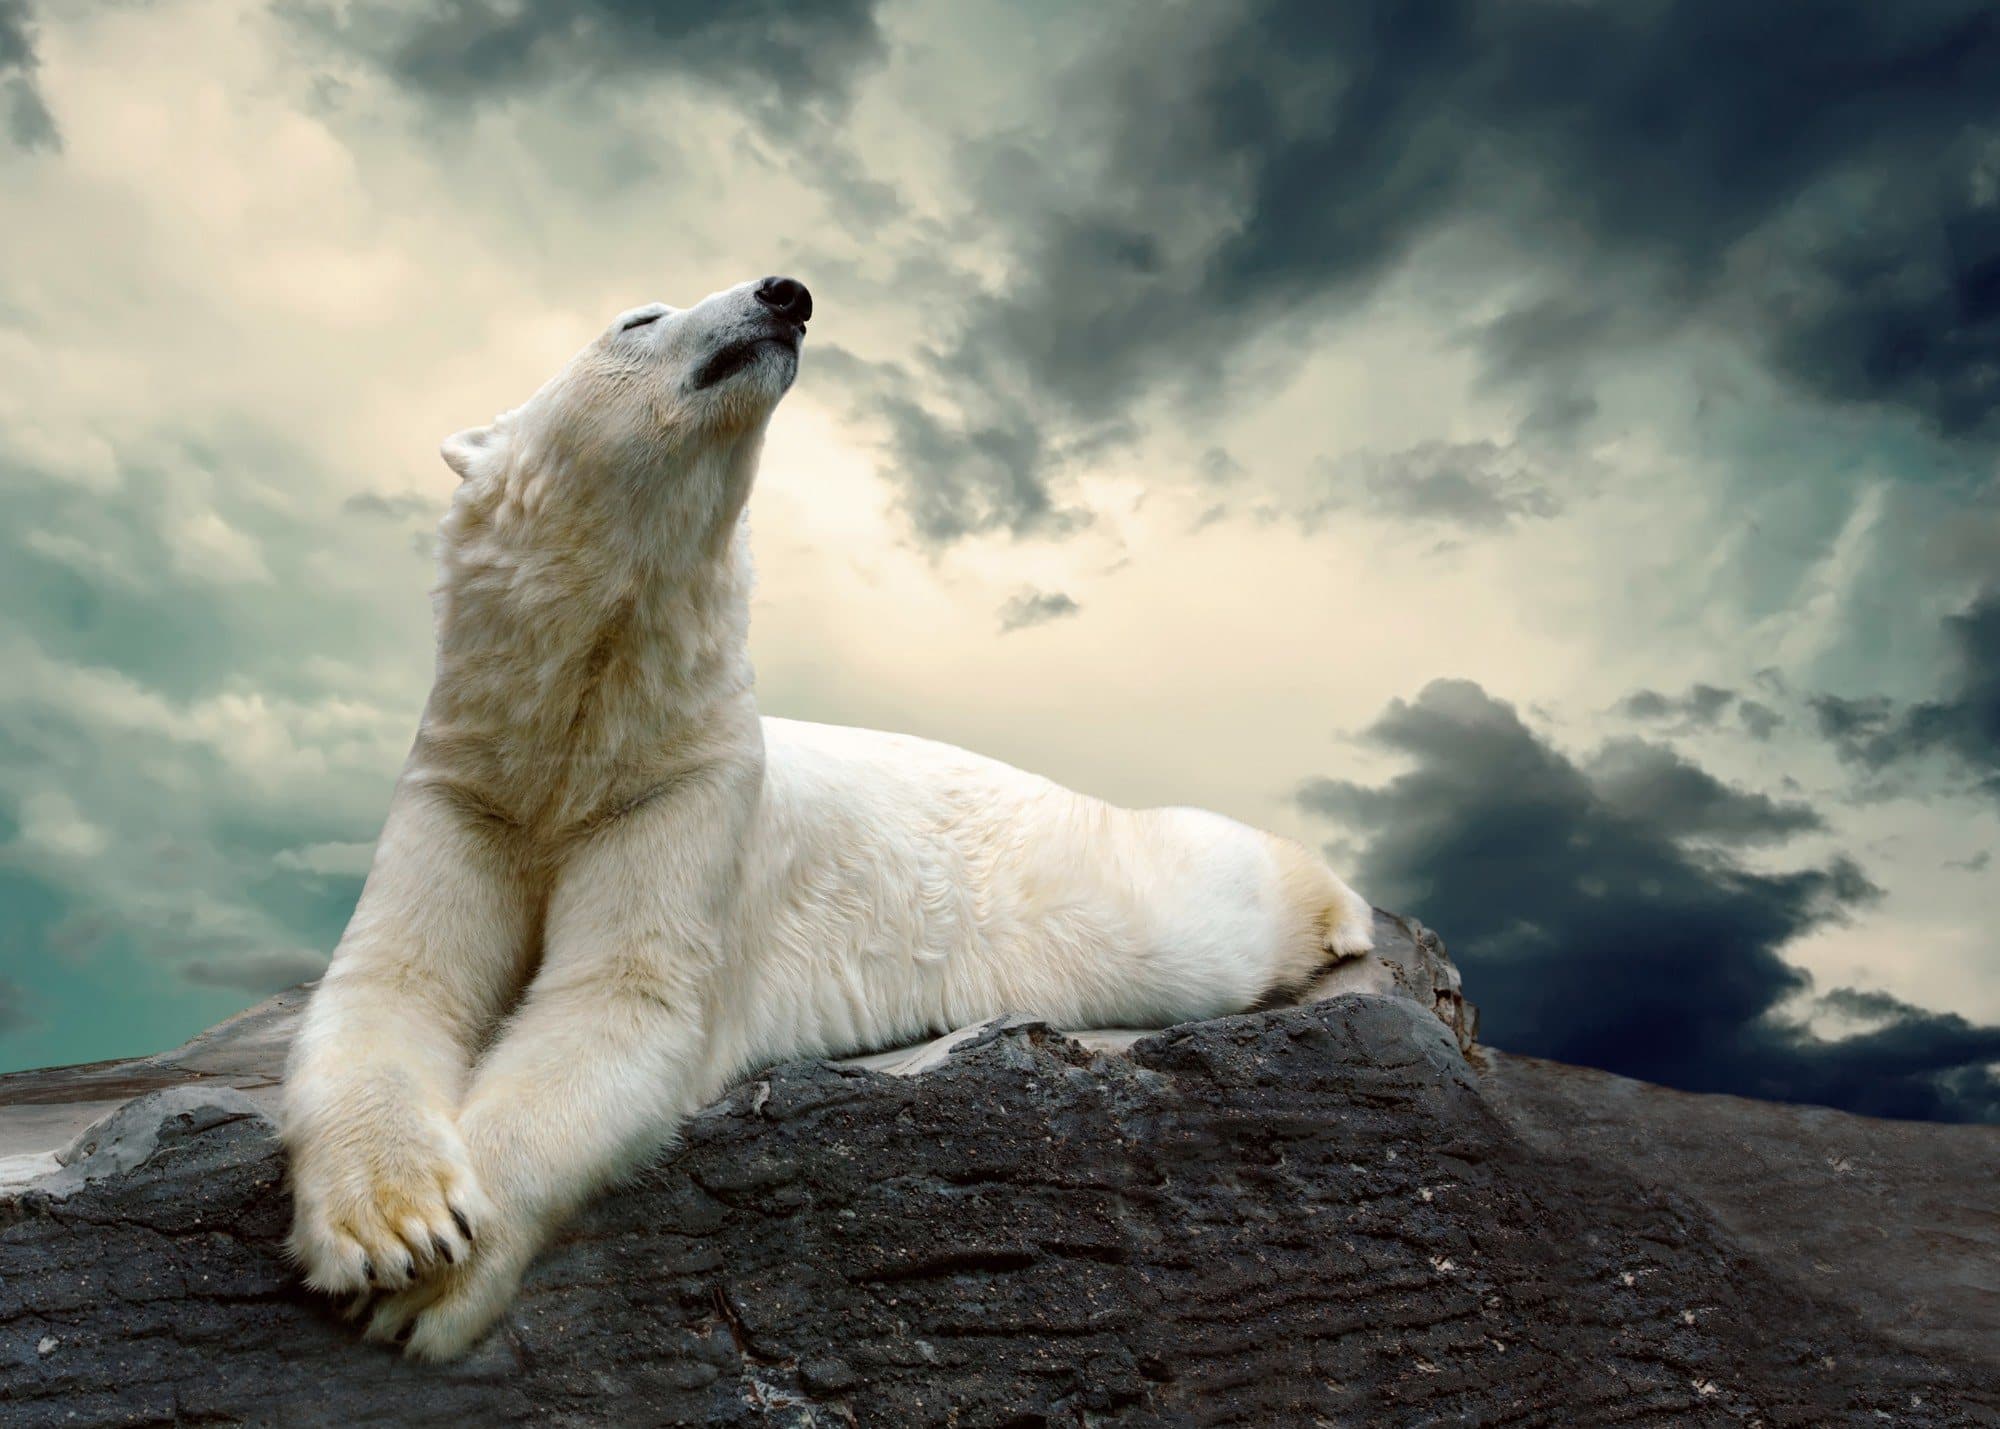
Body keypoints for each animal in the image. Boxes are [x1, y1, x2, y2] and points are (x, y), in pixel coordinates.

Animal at [281, 275, 1375, 1361]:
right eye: (638, 318)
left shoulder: (687, 789)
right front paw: (395, 1225)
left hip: (1063, 879)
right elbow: (394, 981)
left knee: (1196, 915)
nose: (786, 293)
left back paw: (1342, 912)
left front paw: (433, 1281)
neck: (585, 726)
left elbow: (618, 1002)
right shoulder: (470, 783)